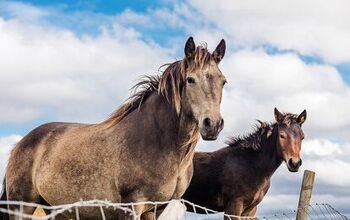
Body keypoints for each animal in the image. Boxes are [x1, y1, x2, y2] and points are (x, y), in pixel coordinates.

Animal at [0, 37, 228, 219]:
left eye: (223, 81)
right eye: (190, 80)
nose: (212, 125)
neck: (158, 141)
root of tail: (20, 144)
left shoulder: (156, 209)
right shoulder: (132, 205)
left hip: (56, 209)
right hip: (22, 206)